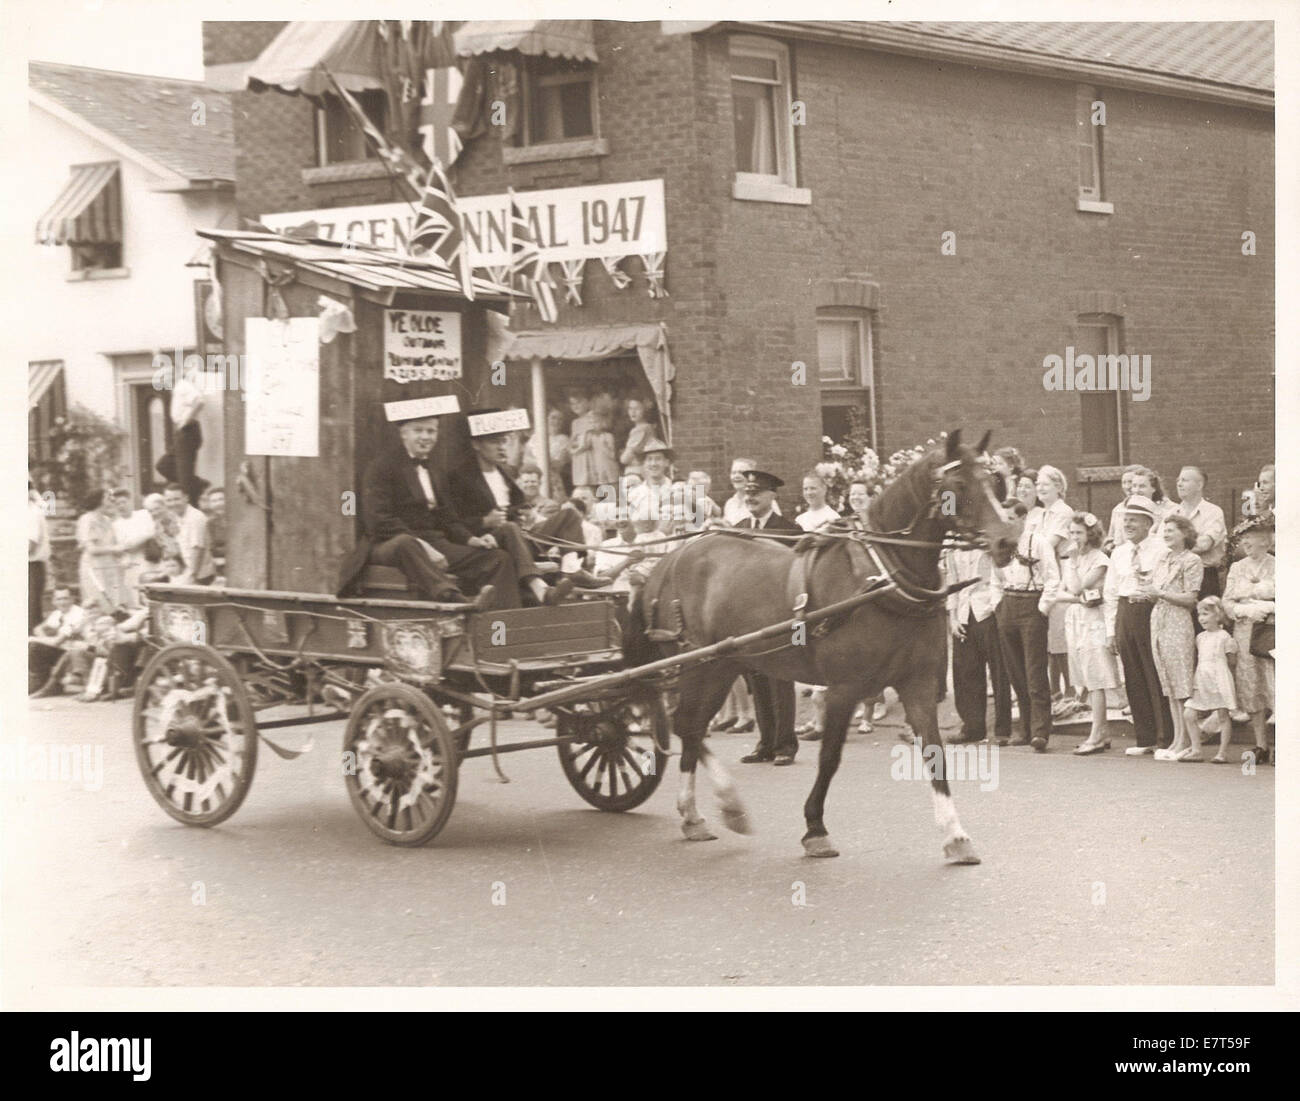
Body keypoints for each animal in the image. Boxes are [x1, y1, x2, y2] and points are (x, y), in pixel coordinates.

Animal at [624, 428, 1019, 863]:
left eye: (995, 481)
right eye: (959, 485)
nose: (1007, 540)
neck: (880, 577)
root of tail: (663, 563)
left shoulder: (917, 682)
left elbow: (934, 753)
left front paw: (955, 835)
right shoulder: (844, 689)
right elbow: (830, 758)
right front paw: (815, 827)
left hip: (723, 665)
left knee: (691, 727)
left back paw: (702, 813)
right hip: (698, 665)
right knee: (686, 725)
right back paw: (718, 805)